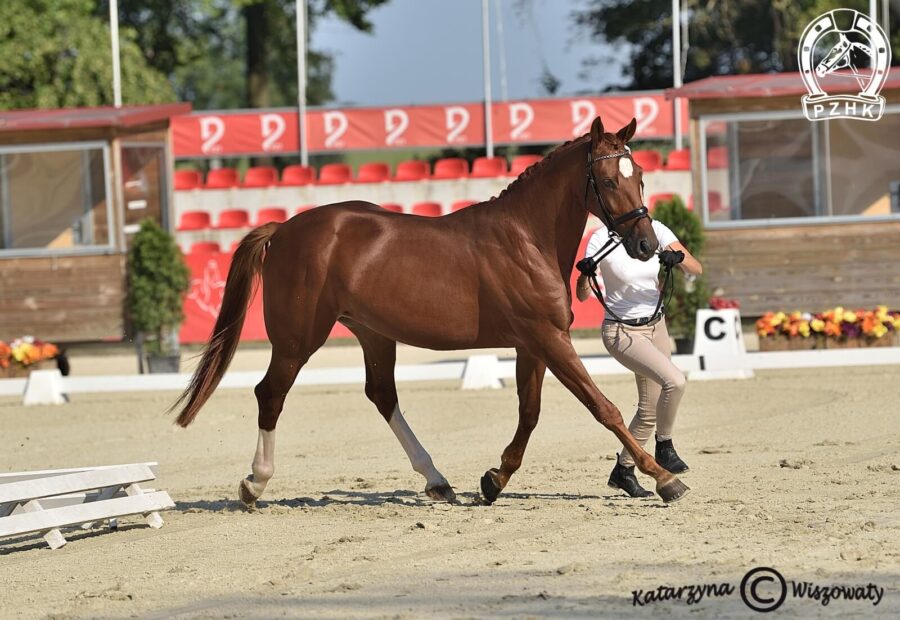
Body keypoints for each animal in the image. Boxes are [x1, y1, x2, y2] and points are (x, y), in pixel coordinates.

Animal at [174, 117, 688, 508]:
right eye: (608, 181)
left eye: (640, 176)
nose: (647, 246)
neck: (526, 238)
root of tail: (282, 230)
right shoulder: (548, 339)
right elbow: (604, 408)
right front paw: (664, 478)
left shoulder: (533, 345)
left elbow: (529, 414)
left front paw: (493, 480)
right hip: (298, 339)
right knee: (270, 394)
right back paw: (254, 483)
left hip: (373, 334)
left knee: (381, 396)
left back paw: (437, 481)